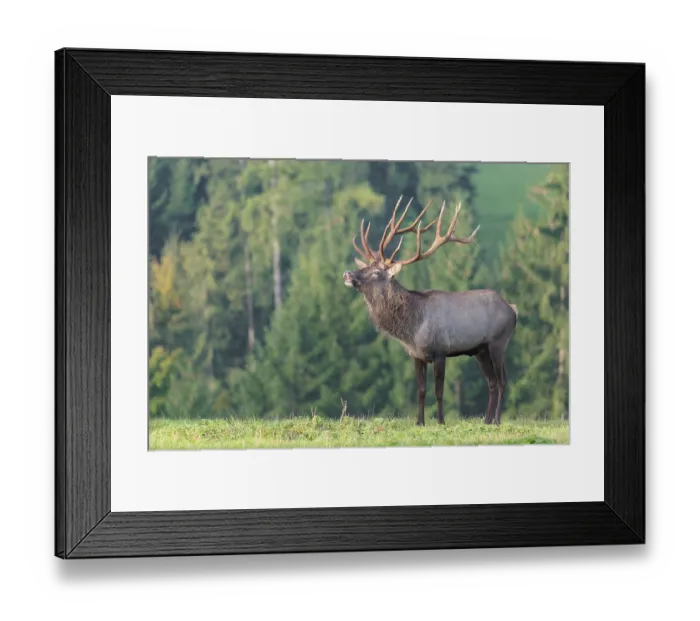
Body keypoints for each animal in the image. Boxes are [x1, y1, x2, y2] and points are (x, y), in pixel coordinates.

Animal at [343, 197, 518, 426]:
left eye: (376, 272)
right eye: (365, 267)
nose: (347, 274)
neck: (412, 330)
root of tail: (513, 310)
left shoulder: (440, 350)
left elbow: (439, 391)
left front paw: (441, 421)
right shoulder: (416, 356)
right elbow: (421, 390)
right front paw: (420, 422)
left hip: (499, 342)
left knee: (503, 380)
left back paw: (496, 420)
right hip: (480, 350)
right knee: (492, 382)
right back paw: (486, 421)